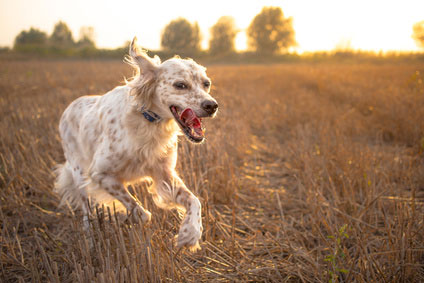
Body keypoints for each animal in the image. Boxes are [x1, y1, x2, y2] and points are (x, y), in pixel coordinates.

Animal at [53, 37, 219, 251]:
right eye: (180, 85)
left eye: (206, 83)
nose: (212, 106)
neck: (148, 123)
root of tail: (70, 106)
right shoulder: (100, 174)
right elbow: (141, 213)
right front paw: (128, 220)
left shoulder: (164, 175)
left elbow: (194, 200)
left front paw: (190, 233)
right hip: (80, 175)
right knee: (86, 215)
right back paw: (90, 243)